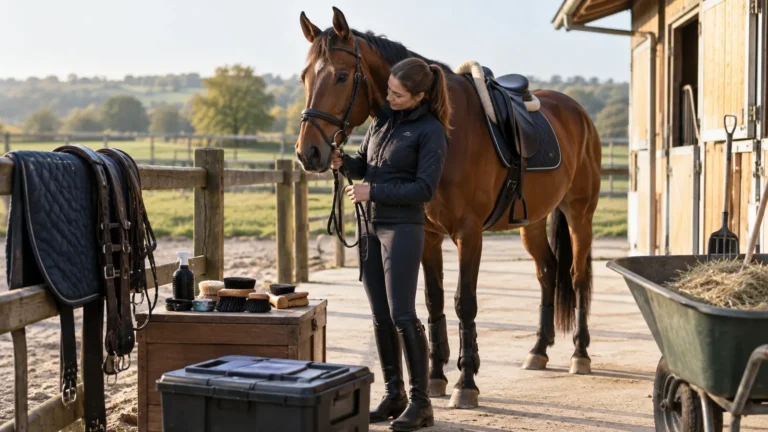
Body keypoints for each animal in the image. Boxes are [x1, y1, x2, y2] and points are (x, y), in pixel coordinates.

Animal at [294, 7, 602, 409]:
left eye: (342, 76)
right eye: (305, 76)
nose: (308, 153)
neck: (445, 128)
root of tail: (578, 112)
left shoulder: (468, 235)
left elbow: (463, 304)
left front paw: (466, 382)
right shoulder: (427, 235)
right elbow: (433, 301)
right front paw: (437, 377)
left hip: (579, 213)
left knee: (578, 277)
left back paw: (580, 354)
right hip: (531, 222)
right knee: (547, 271)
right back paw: (538, 349)